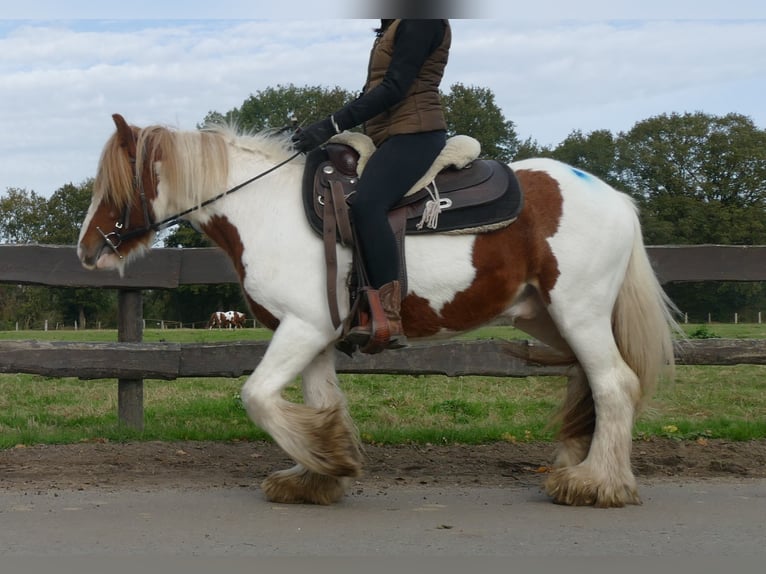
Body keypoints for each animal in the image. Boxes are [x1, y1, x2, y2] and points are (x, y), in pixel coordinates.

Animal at [76, 113, 680, 508]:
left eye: (117, 181)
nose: (86, 250)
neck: (264, 209)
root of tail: (615, 197)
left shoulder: (303, 328)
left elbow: (257, 396)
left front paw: (331, 460)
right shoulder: (317, 337)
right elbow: (321, 402)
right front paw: (319, 471)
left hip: (579, 313)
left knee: (614, 385)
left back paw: (597, 483)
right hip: (548, 319)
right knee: (589, 382)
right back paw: (580, 468)